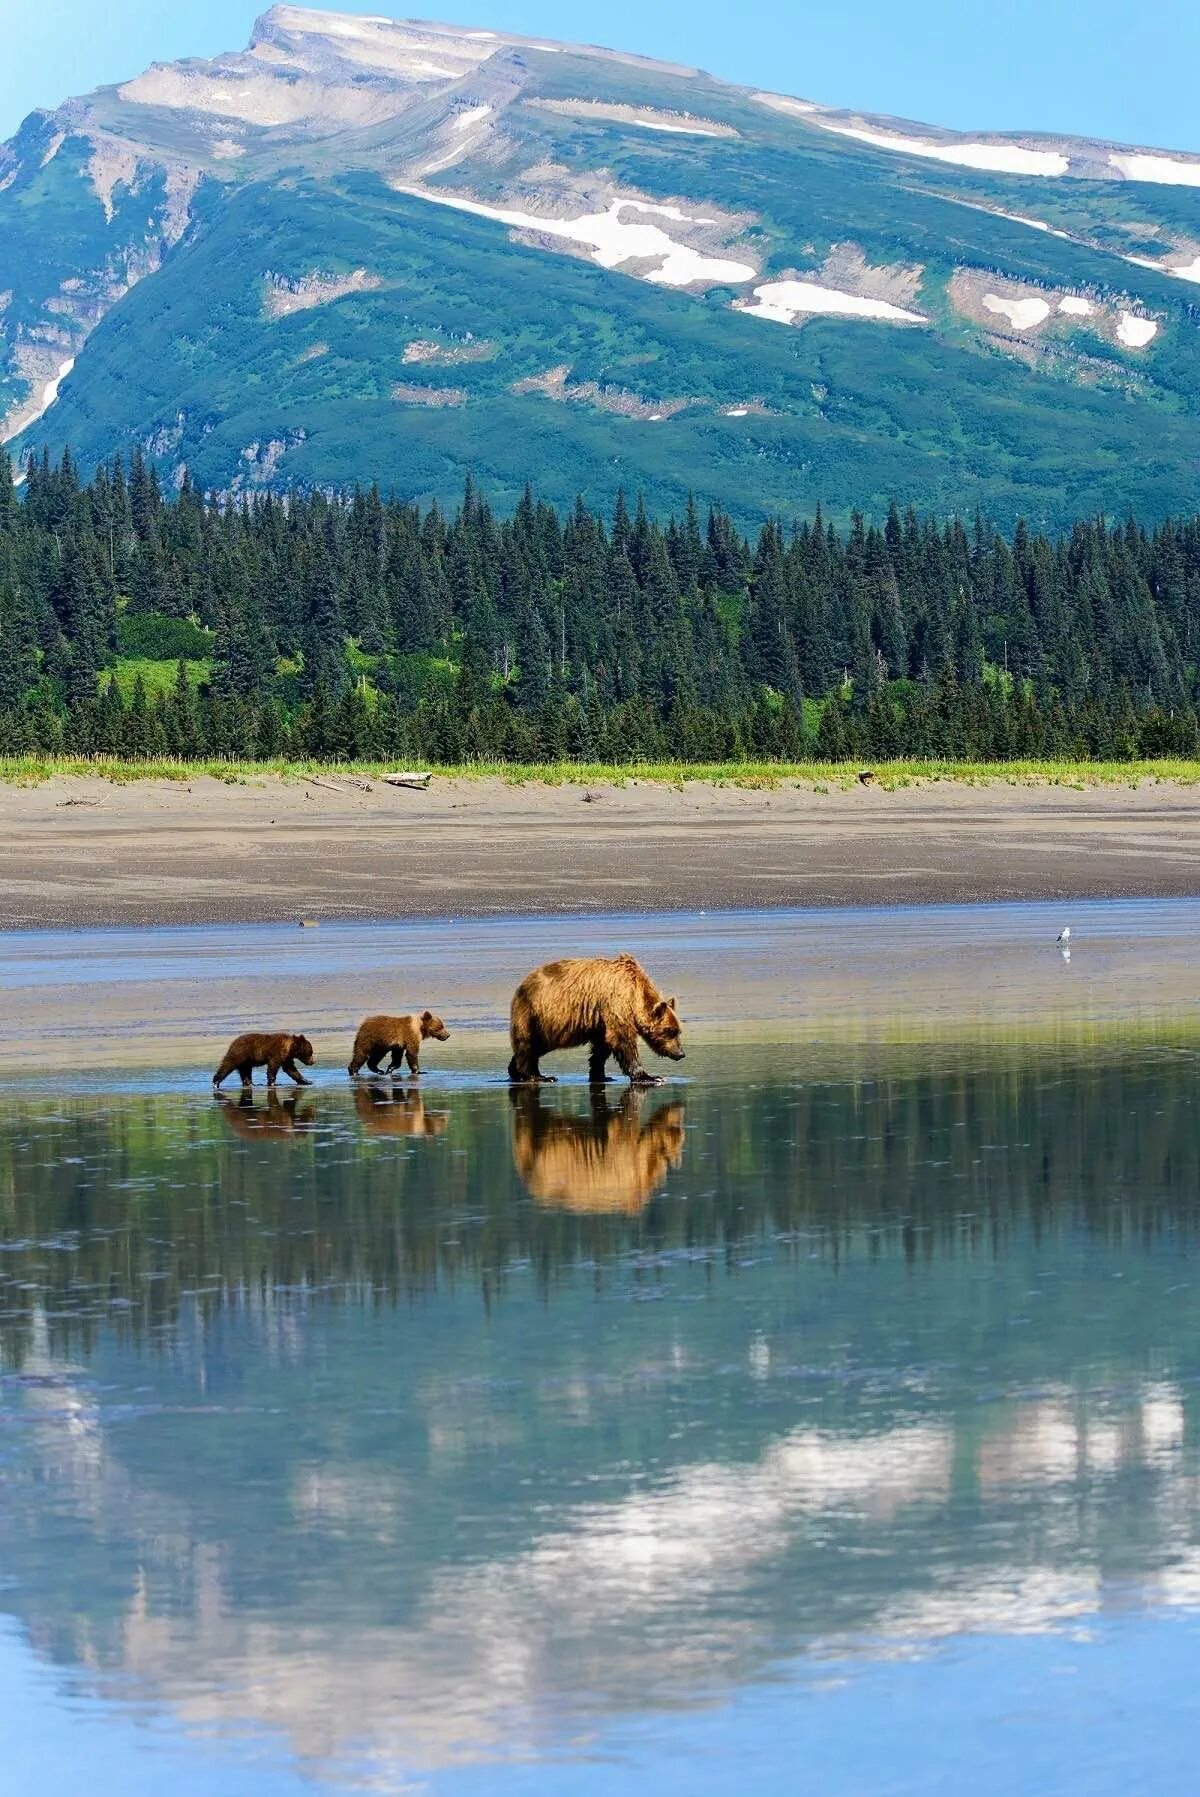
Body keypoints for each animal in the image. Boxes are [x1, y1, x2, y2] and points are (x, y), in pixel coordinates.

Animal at [506, 948, 682, 1085]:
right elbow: (623, 1040)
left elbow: (602, 1047)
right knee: (529, 1045)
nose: (681, 1054)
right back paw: (539, 1076)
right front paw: (650, 1077)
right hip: (537, 1014)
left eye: (678, 1031)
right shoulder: (615, 1004)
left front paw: (601, 1075)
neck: (635, 992)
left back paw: (516, 1073)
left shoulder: (600, 1020)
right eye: (670, 1031)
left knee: (535, 1047)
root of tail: (522, 984)